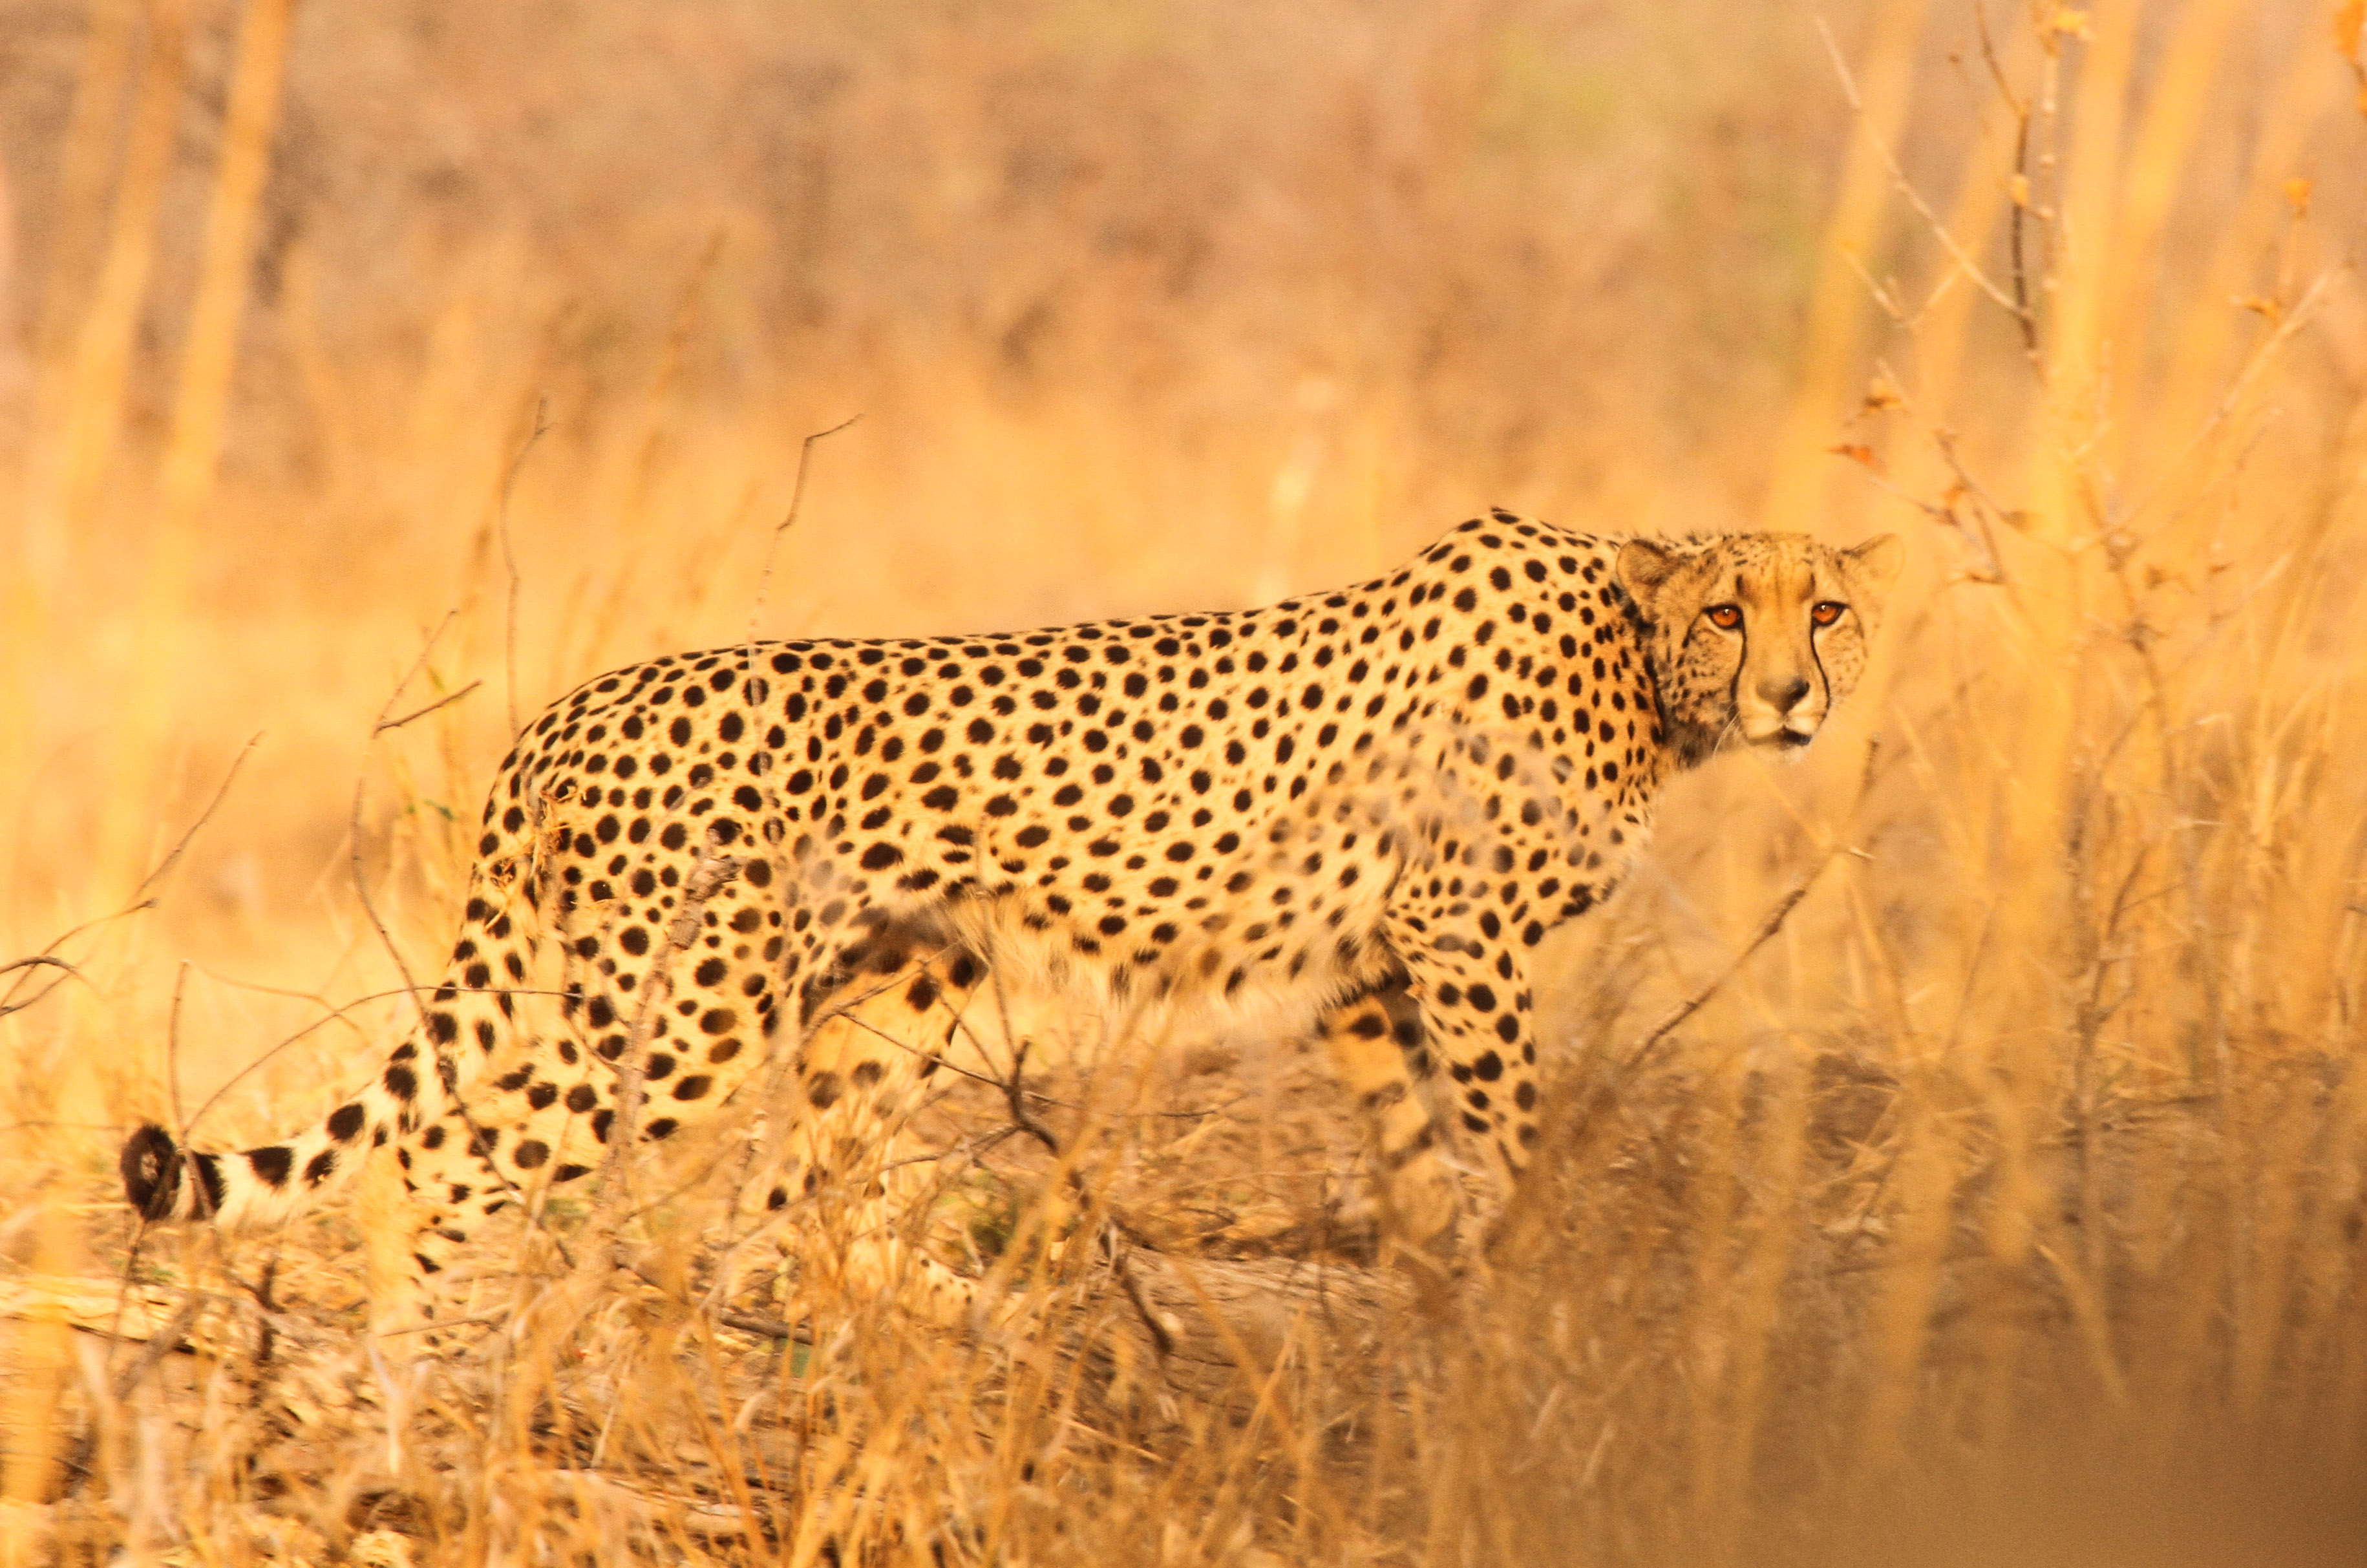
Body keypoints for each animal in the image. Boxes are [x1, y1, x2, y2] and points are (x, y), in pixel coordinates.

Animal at [121, 512, 1901, 1344]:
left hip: (907, 970)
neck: (1641, 668)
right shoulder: (1460, 943)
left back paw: (903, 1323)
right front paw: (1553, 1290)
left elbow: (1412, 1164)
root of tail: (565, 709)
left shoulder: (1370, 973)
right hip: (689, 1010)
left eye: (1826, 607)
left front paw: (1452, 1312)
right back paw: (413, 1369)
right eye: (1731, 608)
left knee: (800, 1199)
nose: (1797, 695)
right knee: (447, 1159)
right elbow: (1516, 1142)